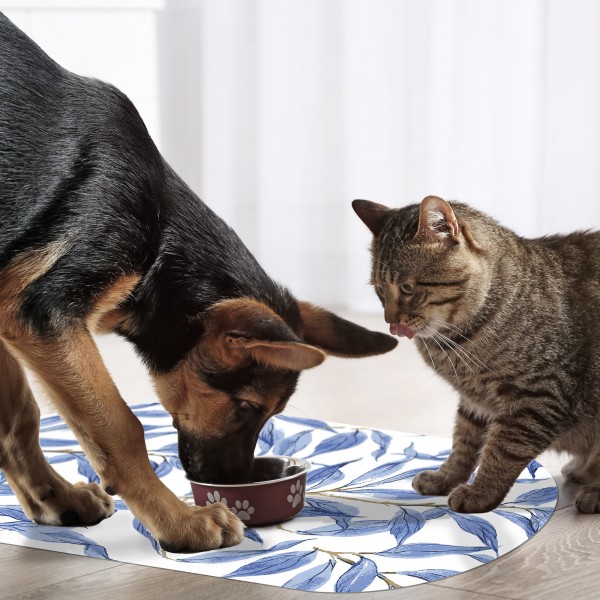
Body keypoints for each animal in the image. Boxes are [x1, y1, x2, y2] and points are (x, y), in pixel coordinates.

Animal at [0, 12, 398, 552]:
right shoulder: (43, 313)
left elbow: (19, 416)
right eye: (247, 406)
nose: (235, 484)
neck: (160, 241)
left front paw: (53, 498)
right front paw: (182, 523)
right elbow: (122, 429)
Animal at [352, 197, 600, 516]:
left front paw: (481, 492)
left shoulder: (537, 397)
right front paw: (444, 478)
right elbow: (463, 443)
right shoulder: (475, 402)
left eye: (407, 288)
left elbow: (502, 450)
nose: (390, 322)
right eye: (380, 290)